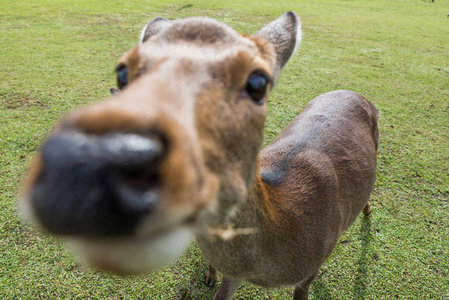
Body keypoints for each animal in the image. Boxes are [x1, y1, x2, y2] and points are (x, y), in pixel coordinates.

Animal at [21, 11, 378, 300]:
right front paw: (209, 277)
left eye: (258, 83)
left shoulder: (313, 265)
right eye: (122, 73)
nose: (82, 167)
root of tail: (353, 91)